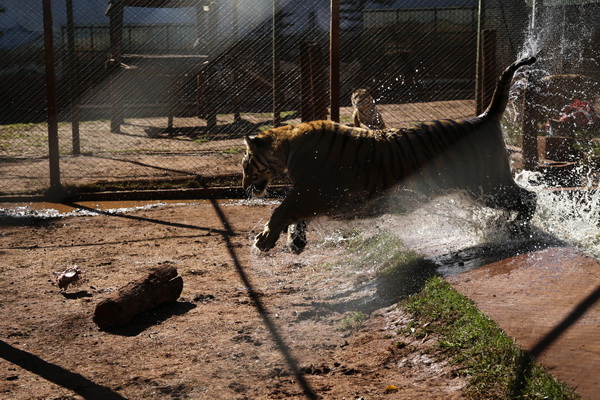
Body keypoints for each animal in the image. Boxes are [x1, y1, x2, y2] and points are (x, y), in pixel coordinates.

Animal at [244, 56, 540, 253]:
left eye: (246, 162)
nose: (245, 184)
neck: (286, 146)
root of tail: (484, 116)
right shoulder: (311, 196)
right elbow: (295, 217)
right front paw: (295, 241)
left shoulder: (311, 193)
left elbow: (281, 210)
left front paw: (264, 240)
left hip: (488, 184)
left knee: (529, 198)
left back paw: (514, 229)